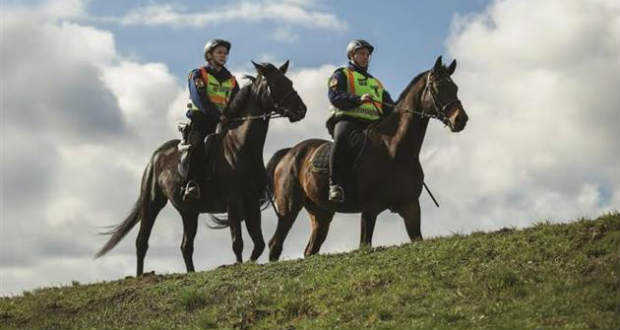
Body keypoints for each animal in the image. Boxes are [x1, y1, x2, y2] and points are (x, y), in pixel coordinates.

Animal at [95, 62, 306, 276]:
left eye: (289, 81)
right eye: (276, 84)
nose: (301, 110)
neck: (240, 147)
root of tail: (157, 154)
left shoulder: (252, 203)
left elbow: (259, 244)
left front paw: (247, 263)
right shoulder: (233, 202)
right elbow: (237, 242)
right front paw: (237, 265)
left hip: (189, 212)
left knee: (186, 246)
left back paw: (190, 272)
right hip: (152, 203)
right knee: (142, 242)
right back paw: (141, 276)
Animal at [266, 56, 464, 260]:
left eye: (455, 87)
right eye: (437, 87)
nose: (460, 119)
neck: (394, 150)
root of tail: (289, 152)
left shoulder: (411, 207)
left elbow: (416, 238)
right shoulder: (370, 210)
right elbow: (364, 244)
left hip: (321, 213)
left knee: (310, 249)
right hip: (288, 208)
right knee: (275, 244)